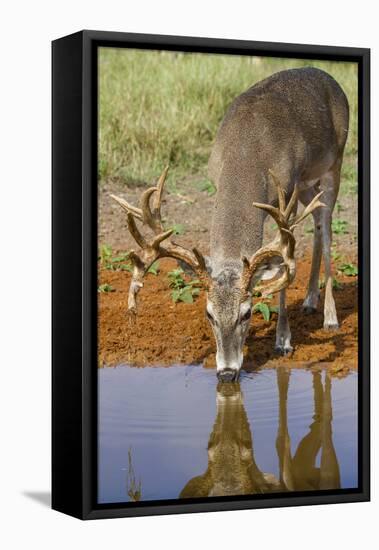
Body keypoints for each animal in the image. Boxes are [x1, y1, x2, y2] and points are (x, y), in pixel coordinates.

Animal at [110, 67, 350, 382]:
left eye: (247, 313)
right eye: (208, 313)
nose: (226, 372)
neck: (247, 152)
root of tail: (327, 76)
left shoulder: (287, 192)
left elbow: (284, 263)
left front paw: (283, 341)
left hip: (334, 163)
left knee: (327, 229)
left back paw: (330, 318)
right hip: (309, 185)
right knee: (319, 225)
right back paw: (310, 301)